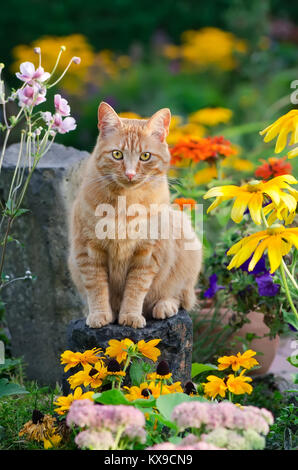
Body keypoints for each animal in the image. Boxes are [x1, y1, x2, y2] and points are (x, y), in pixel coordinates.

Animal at [68, 103, 201, 328]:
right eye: (117, 154)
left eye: (145, 156)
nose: (130, 174)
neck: (125, 203)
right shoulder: (88, 251)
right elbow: (96, 288)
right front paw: (100, 314)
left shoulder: (147, 254)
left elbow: (135, 289)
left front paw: (130, 316)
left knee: (181, 296)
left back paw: (165, 305)